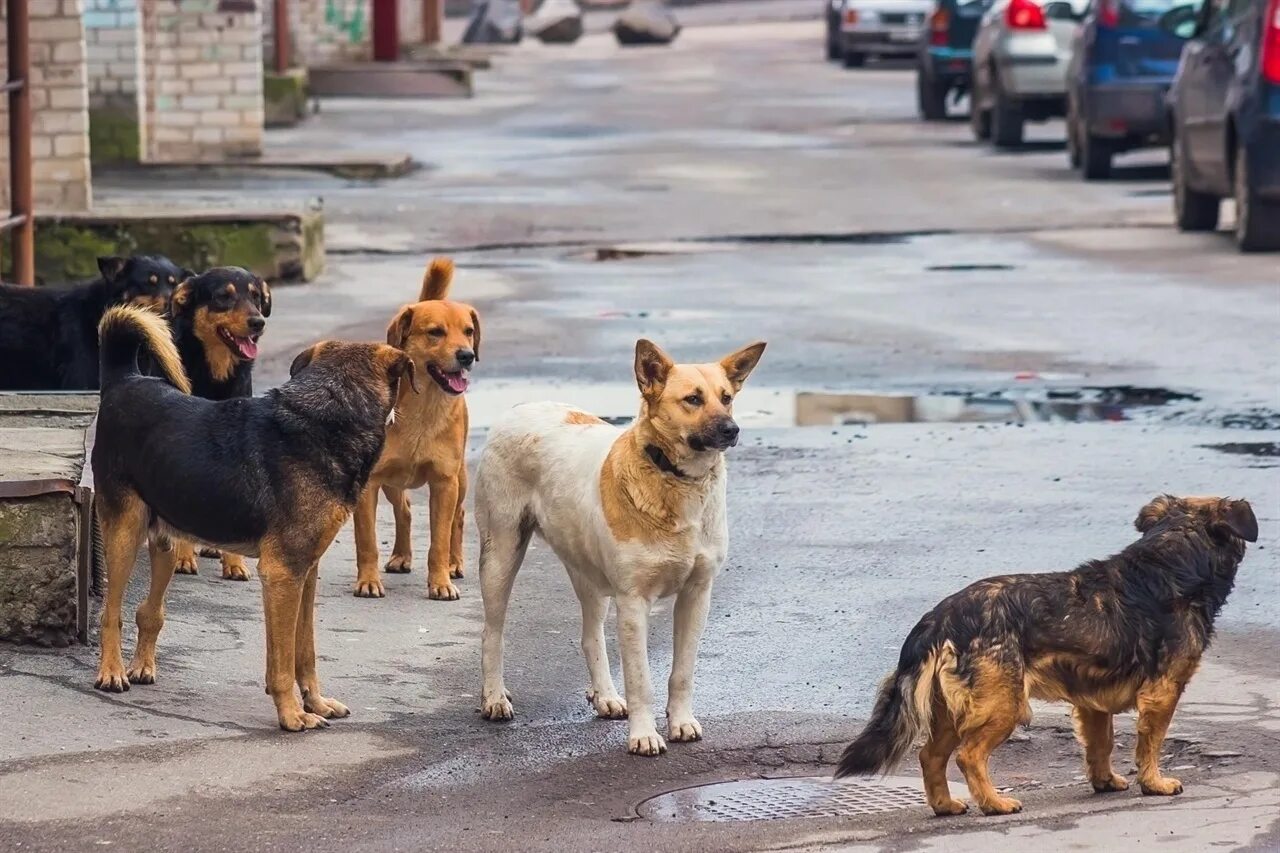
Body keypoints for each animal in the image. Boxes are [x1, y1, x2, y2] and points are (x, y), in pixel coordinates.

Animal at [92, 306, 412, 732]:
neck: (328, 414)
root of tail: (124, 380)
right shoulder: (282, 575)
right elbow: (282, 662)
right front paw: (292, 714)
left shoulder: (305, 572)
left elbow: (305, 651)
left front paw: (316, 702)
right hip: (124, 534)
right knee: (111, 612)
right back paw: (111, 672)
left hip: (165, 541)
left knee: (149, 611)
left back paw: (142, 665)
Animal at [350, 257, 481, 596]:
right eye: (435, 332)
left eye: (468, 331)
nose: (467, 355)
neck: (424, 408)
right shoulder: (370, 483)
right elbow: (367, 540)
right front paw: (368, 580)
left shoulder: (444, 483)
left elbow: (439, 541)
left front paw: (441, 582)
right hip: (392, 482)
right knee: (405, 510)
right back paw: (401, 556)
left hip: (460, 478)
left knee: (458, 518)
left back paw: (454, 563)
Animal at [476, 335, 762, 753]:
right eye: (692, 399)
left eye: (726, 397)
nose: (732, 429)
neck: (675, 479)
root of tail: (521, 407)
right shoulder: (633, 602)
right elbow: (641, 679)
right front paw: (644, 735)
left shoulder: (697, 595)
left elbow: (682, 672)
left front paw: (680, 721)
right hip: (500, 555)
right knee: (492, 633)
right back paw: (494, 697)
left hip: (588, 573)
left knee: (590, 637)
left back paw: (605, 696)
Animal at [834, 494, 1254, 814]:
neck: (1172, 559)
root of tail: (940, 618)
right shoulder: (1162, 693)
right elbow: (1150, 744)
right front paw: (1154, 783)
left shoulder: (1092, 702)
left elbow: (1100, 745)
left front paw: (1104, 781)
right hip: (1004, 704)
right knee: (968, 755)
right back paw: (994, 804)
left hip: (952, 710)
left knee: (930, 757)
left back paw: (946, 805)